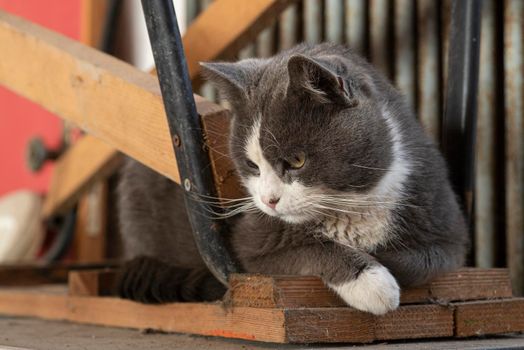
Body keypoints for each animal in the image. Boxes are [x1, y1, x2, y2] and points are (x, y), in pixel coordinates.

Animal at [116, 43, 468, 314]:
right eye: (252, 165)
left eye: (296, 161)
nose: (269, 200)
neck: (352, 202)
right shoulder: (253, 247)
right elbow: (312, 248)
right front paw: (371, 283)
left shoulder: (445, 229)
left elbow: (422, 260)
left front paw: (378, 259)